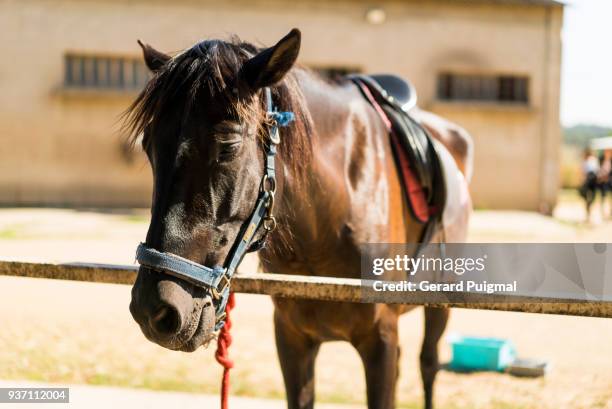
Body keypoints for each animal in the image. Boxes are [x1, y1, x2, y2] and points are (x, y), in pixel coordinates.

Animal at [128, 29, 474, 408]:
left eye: (229, 144)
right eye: (148, 146)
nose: (154, 311)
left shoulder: (380, 339)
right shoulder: (292, 337)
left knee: (428, 363)